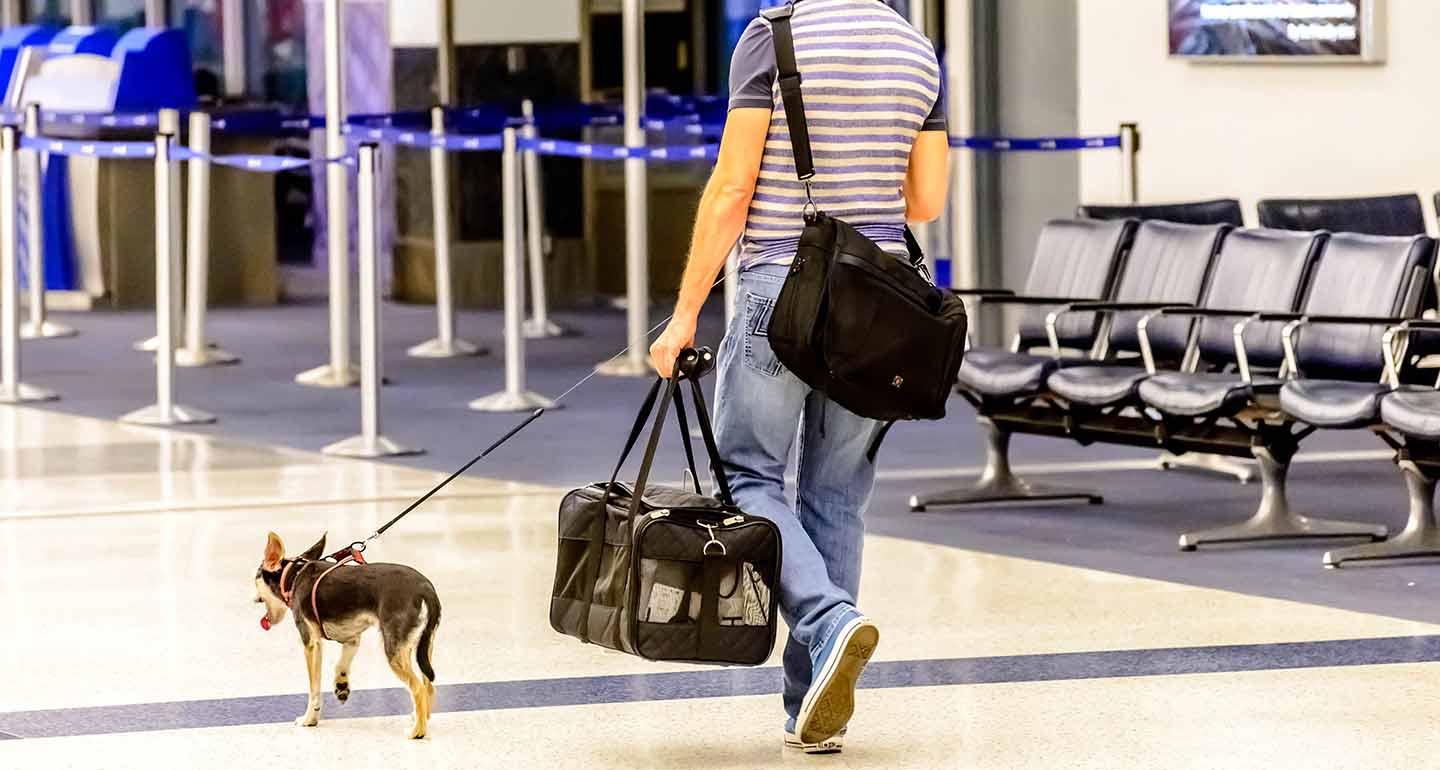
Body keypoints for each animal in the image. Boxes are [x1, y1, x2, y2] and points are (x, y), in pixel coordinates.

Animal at [253, 532, 440, 736]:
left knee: (418, 689)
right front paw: (341, 685)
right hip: (423, 647)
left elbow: (314, 690)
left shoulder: (311, 644)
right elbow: (340, 665)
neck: (294, 576)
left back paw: (417, 732)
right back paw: (422, 718)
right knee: (429, 686)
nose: (252, 597)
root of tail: (426, 589)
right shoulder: (352, 639)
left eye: (255, 577)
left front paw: (309, 719)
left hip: (394, 650)